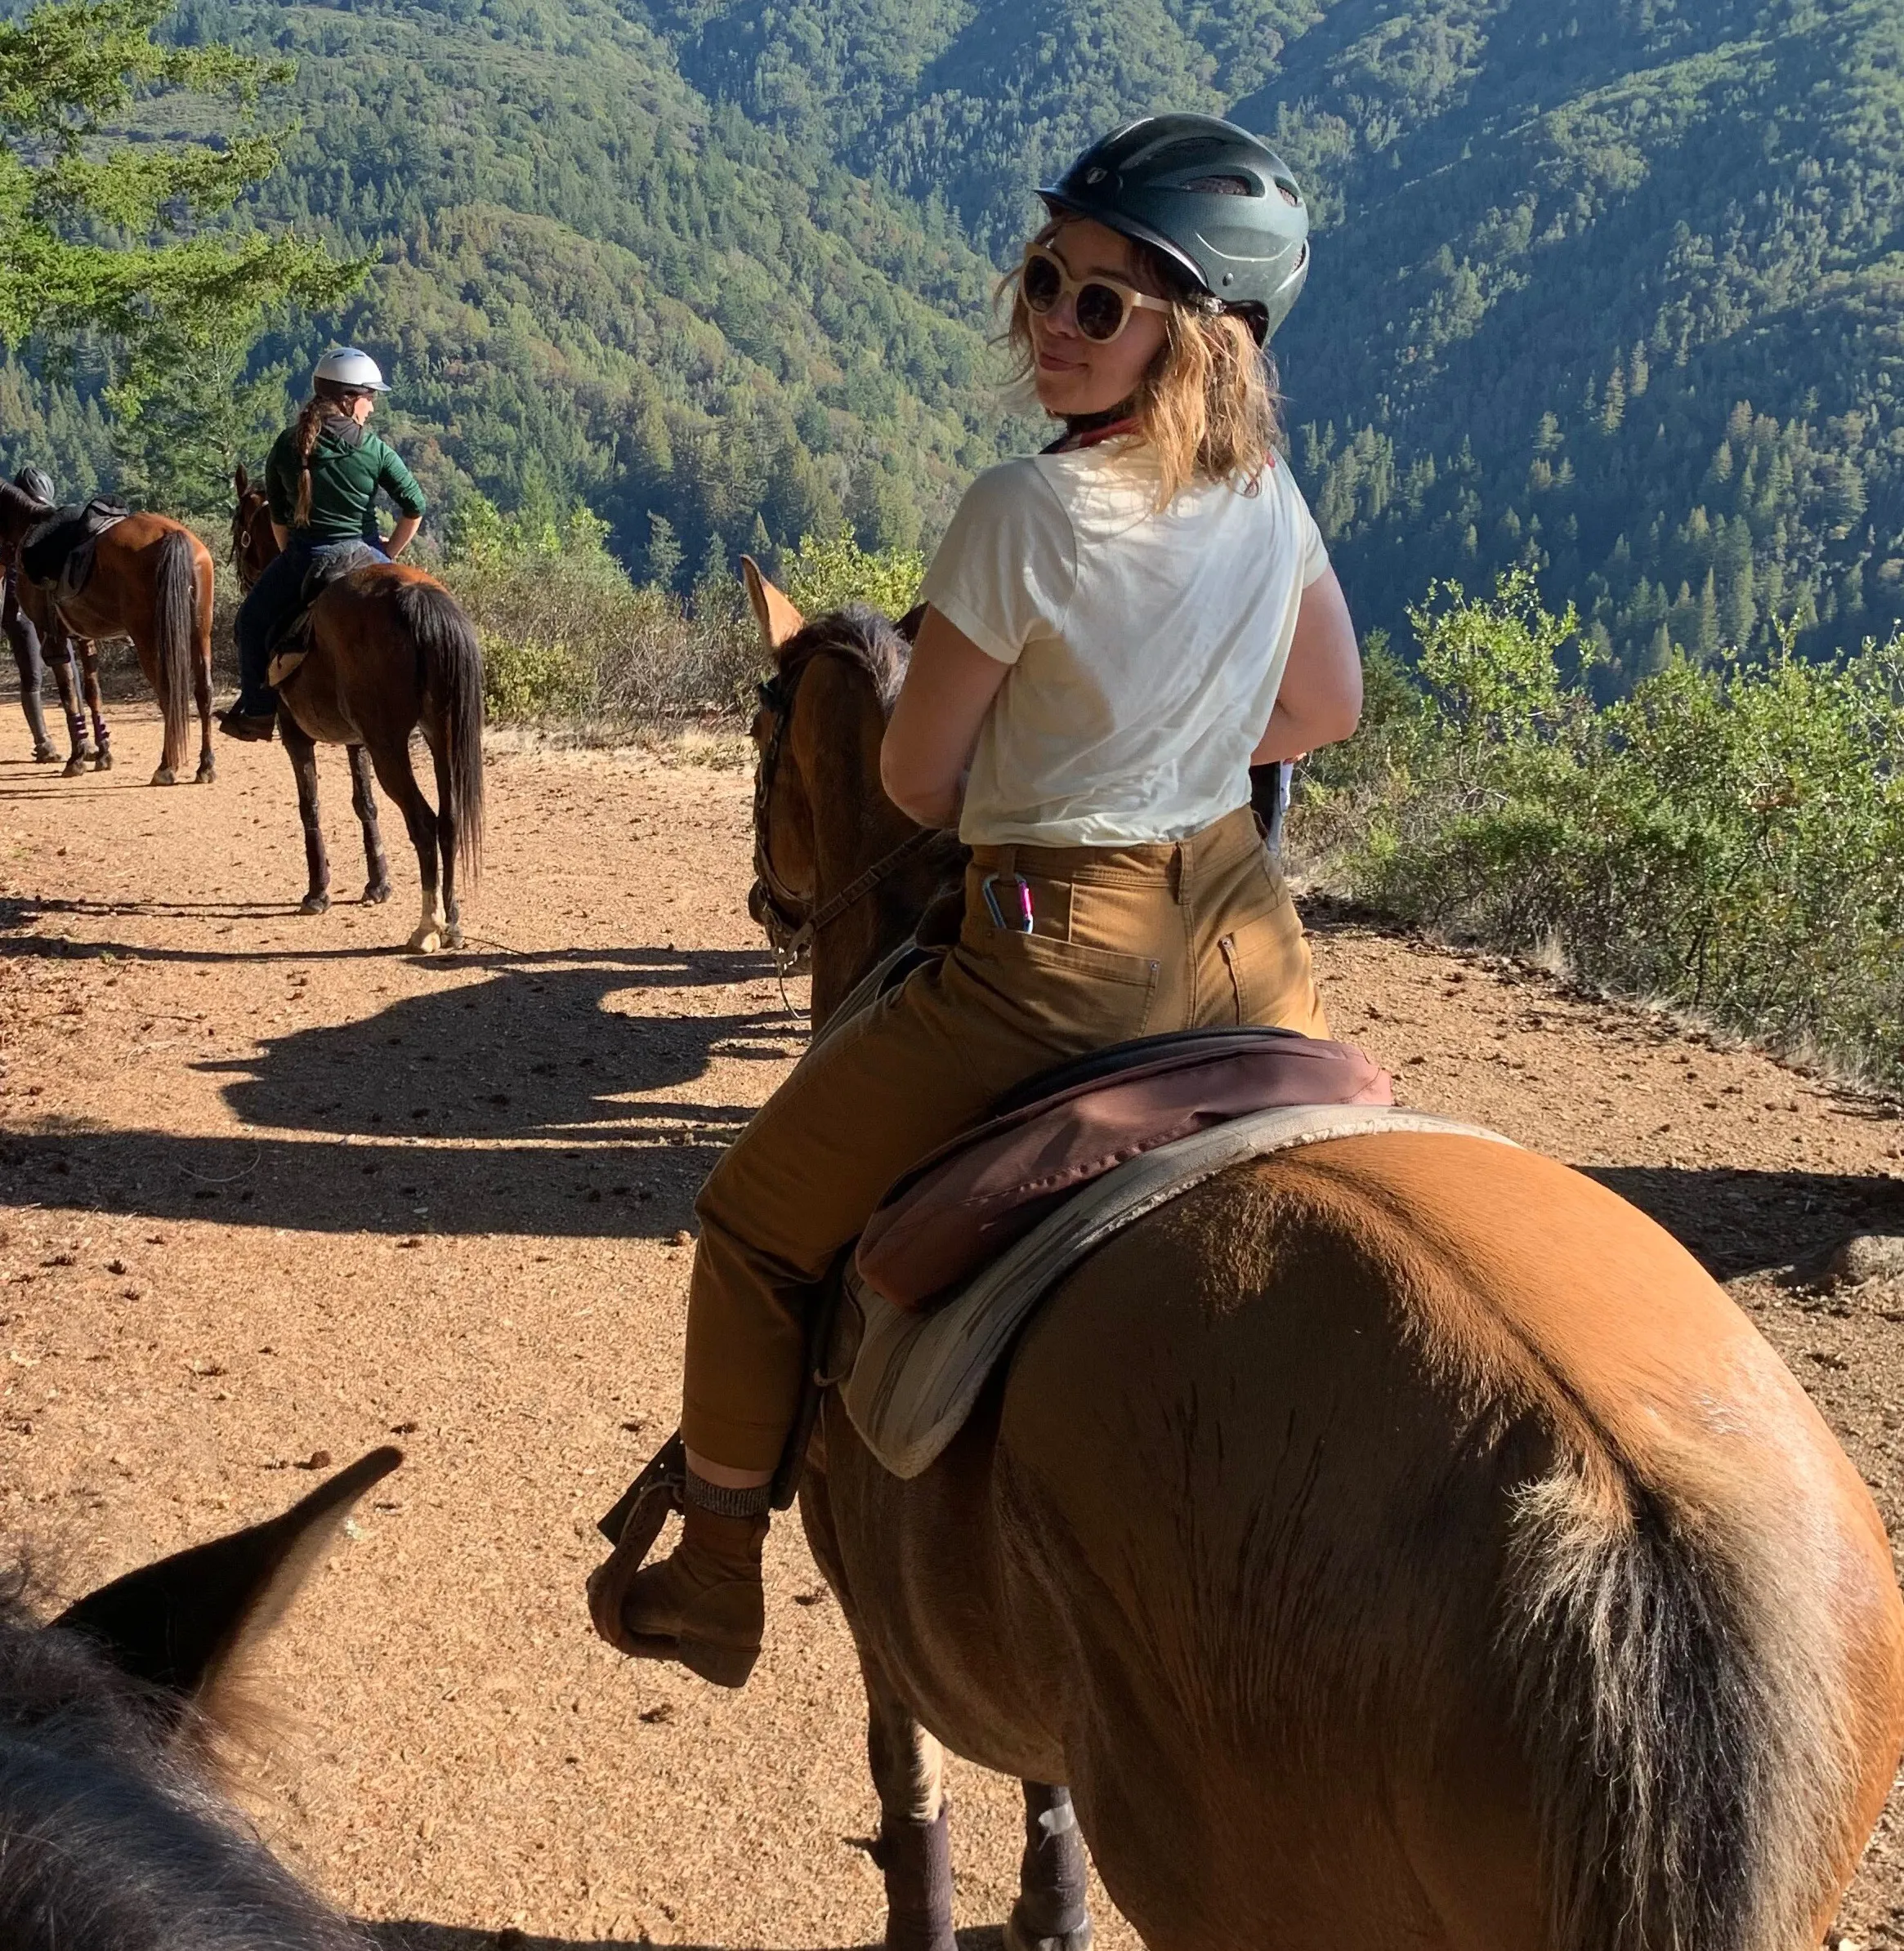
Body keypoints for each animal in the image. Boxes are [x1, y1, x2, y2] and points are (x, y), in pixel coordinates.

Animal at [0, 480, 216, 786]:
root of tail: (172, 534)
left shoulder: (51, 637)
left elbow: (69, 695)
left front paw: (77, 758)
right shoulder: (85, 638)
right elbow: (93, 694)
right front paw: (102, 754)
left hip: (148, 638)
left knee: (168, 694)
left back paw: (166, 766)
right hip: (200, 631)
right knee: (203, 691)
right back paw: (205, 765)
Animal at [230, 466, 484, 953]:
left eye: (240, 530)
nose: (242, 575)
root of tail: (415, 597)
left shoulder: (296, 735)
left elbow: (309, 805)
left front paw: (318, 892)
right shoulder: (357, 741)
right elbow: (364, 804)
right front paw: (377, 885)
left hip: (392, 746)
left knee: (423, 822)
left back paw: (427, 925)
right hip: (440, 734)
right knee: (448, 821)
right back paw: (454, 921)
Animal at [725, 559, 1904, 1951]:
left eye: (760, 732)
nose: (762, 900)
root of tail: (1621, 1525)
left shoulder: (875, 1611)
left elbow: (910, 1786)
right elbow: (1041, 1789)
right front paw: (1049, 1911)